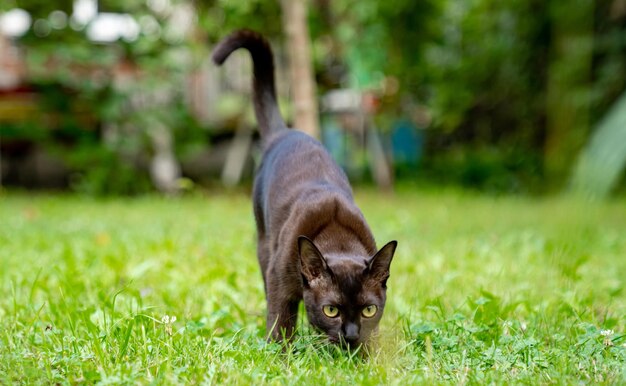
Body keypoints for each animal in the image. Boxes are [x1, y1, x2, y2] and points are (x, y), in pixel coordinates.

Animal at [210, 27, 394, 346]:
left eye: (369, 310)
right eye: (331, 310)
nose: (351, 336)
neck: (337, 235)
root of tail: (285, 132)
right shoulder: (280, 283)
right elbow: (280, 324)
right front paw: (280, 354)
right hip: (263, 247)